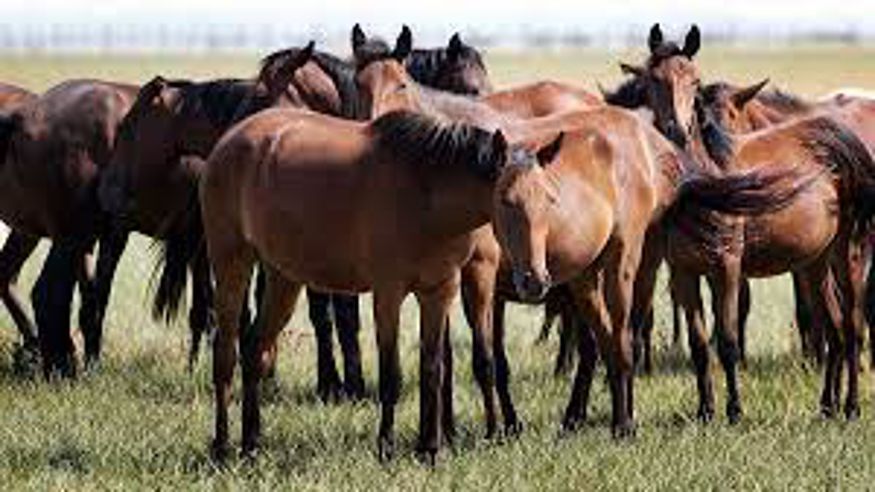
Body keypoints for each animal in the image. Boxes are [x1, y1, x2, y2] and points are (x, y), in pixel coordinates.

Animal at [0, 80, 139, 376]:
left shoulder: (104, 236)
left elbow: (93, 296)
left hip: (34, 233)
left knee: (7, 277)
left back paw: (39, 352)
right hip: (66, 235)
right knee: (46, 291)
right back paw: (60, 365)